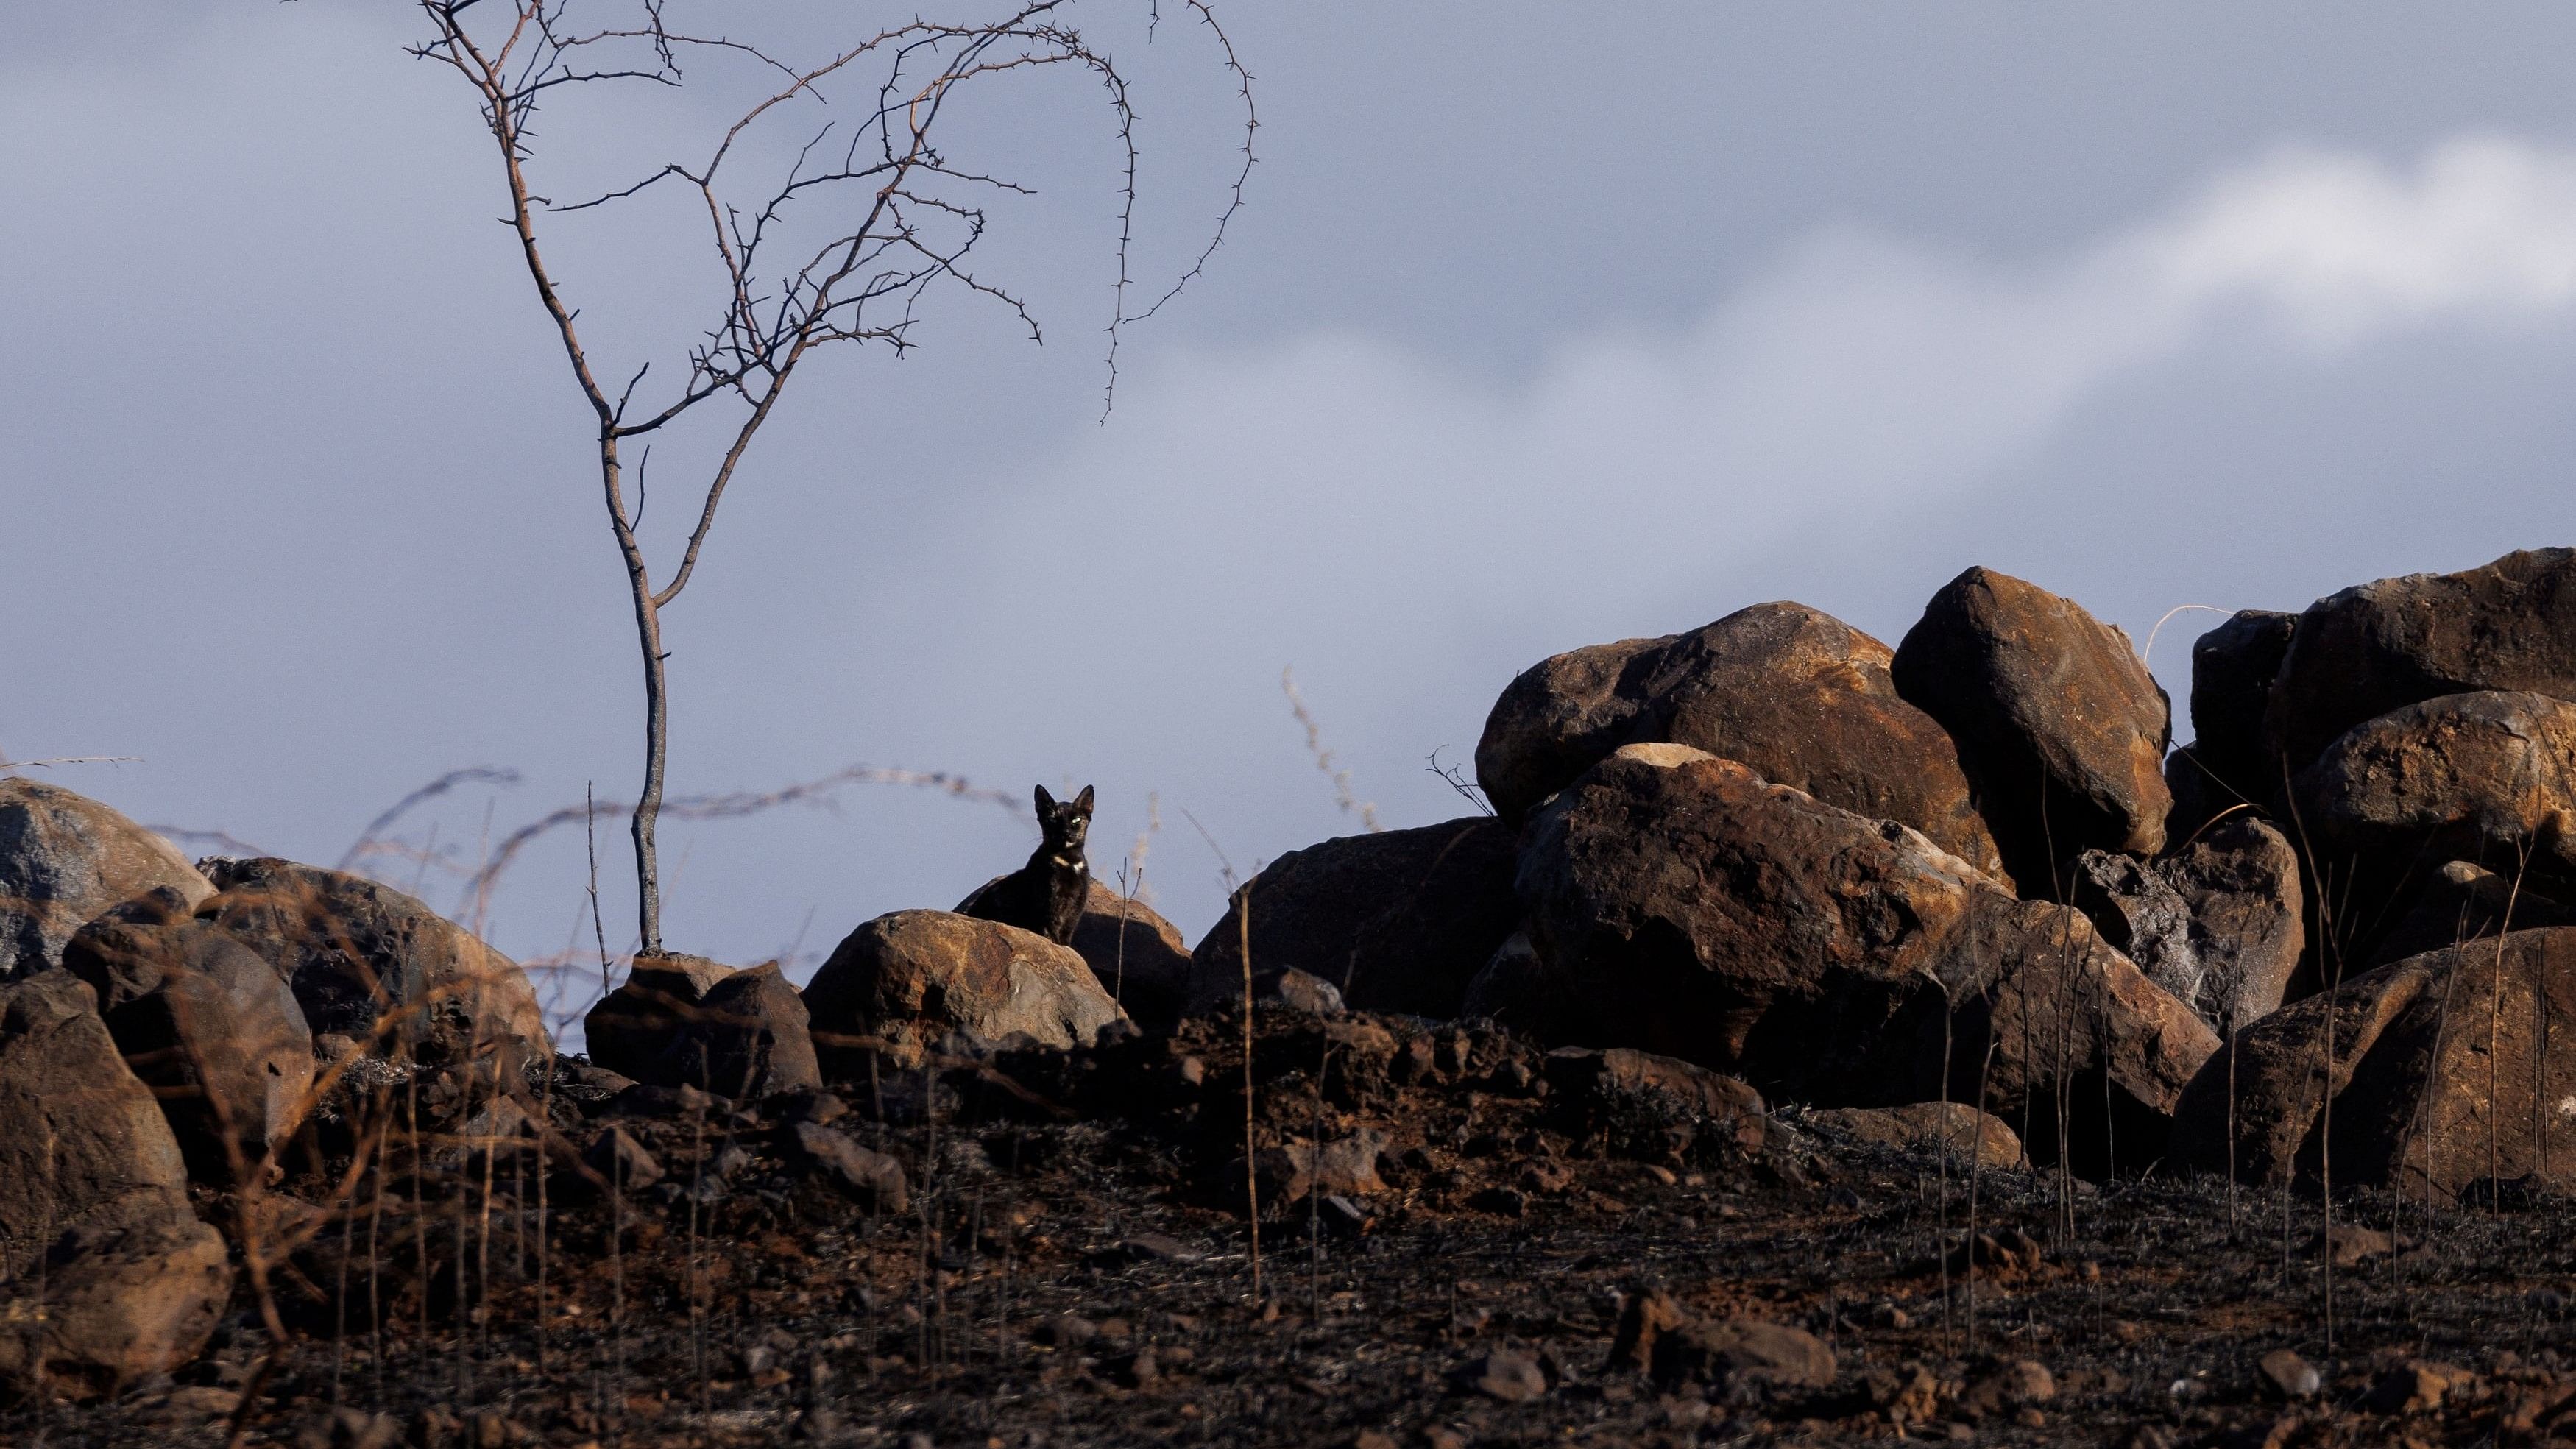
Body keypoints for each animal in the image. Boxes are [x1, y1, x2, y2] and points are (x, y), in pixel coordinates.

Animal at [963, 787, 1092, 947]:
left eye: (1076, 820)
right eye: (1052, 820)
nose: (1066, 832)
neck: (1070, 861)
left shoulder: (1076, 908)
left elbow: (1065, 937)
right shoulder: (1049, 904)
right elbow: (1052, 932)